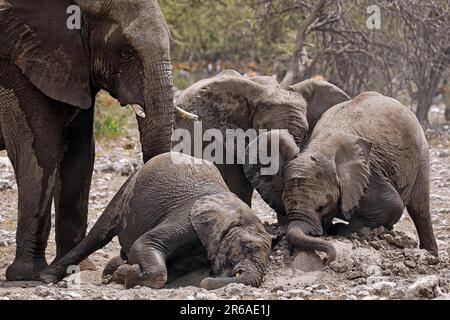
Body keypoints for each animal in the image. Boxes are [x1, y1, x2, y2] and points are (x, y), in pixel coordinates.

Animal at [0, 0, 192, 280]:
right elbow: (41, 151)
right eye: (126, 52)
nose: (124, 257)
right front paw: (27, 275)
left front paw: (74, 269)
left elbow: (80, 154)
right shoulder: (15, 67)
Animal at [40, 152, 270, 290]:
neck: (233, 212)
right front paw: (122, 275)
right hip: (127, 189)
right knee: (98, 236)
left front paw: (119, 272)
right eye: (247, 248)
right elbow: (146, 245)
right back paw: (46, 278)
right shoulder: (185, 219)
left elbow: (174, 267)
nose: (207, 279)